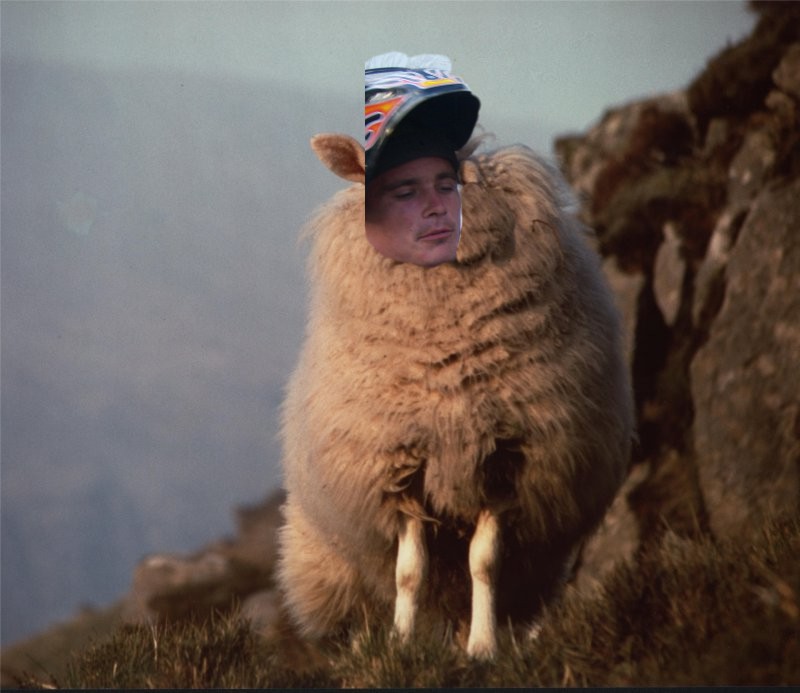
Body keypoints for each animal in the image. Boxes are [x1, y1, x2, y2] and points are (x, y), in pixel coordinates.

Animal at [277, 133, 634, 658]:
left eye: (444, 180)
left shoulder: (504, 463)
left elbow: (484, 563)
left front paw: (483, 649)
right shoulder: (401, 469)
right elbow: (408, 572)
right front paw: (401, 646)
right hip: (330, 564)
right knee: (363, 608)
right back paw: (369, 649)